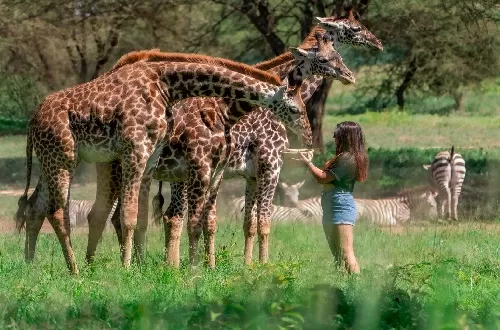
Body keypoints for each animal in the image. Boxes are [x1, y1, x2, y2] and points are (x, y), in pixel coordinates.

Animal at [15, 52, 310, 274]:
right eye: (294, 108)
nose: (307, 135)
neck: (166, 85)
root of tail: (32, 121)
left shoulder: (151, 157)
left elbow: (145, 217)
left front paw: (144, 266)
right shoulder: (137, 150)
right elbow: (132, 216)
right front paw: (132, 269)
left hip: (53, 159)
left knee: (36, 207)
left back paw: (32, 265)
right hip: (65, 159)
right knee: (60, 212)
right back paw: (75, 269)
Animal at [152, 9, 382, 266]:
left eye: (338, 54)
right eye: (354, 29)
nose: (378, 43)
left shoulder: (251, 173)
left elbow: (249, 224)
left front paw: (247, 265)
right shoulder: (270, 163)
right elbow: (264, 222)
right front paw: (264, 265)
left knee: (169, 216)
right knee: (172, 216)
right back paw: (172, 266)